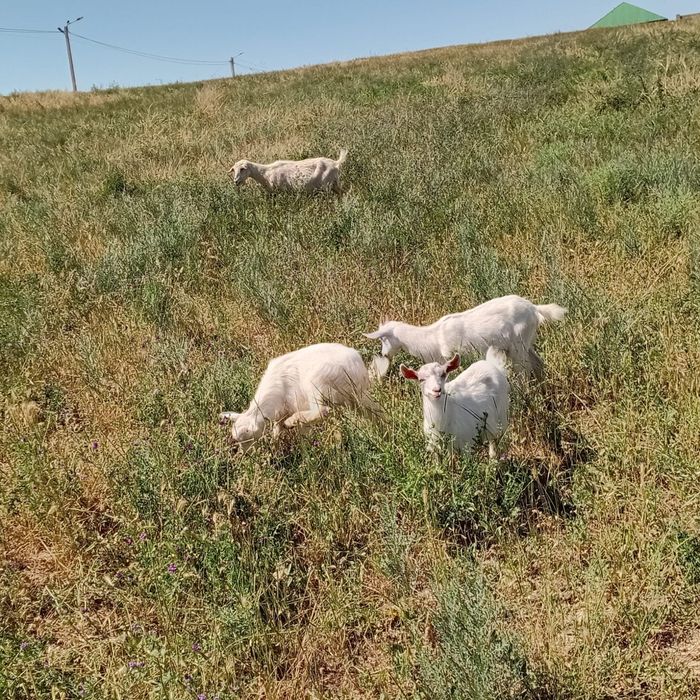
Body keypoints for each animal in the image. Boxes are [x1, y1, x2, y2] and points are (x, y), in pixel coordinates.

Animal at [219, 342, 383, 450]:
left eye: (248, 438)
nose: (246, 453)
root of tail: (356, 369)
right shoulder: (282, 412)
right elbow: (277, 429)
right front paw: (275, 446)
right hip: (358, 398)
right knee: (377, 413)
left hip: (317, 383)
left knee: (322, 411)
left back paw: (292, 421)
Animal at [364, 294, 566, 378]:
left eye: (383, 339)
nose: (383, 355)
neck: (433, 337)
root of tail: (534, 308)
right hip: (527, 344)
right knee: (538, 364)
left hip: (519, 347)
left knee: (525, 371)